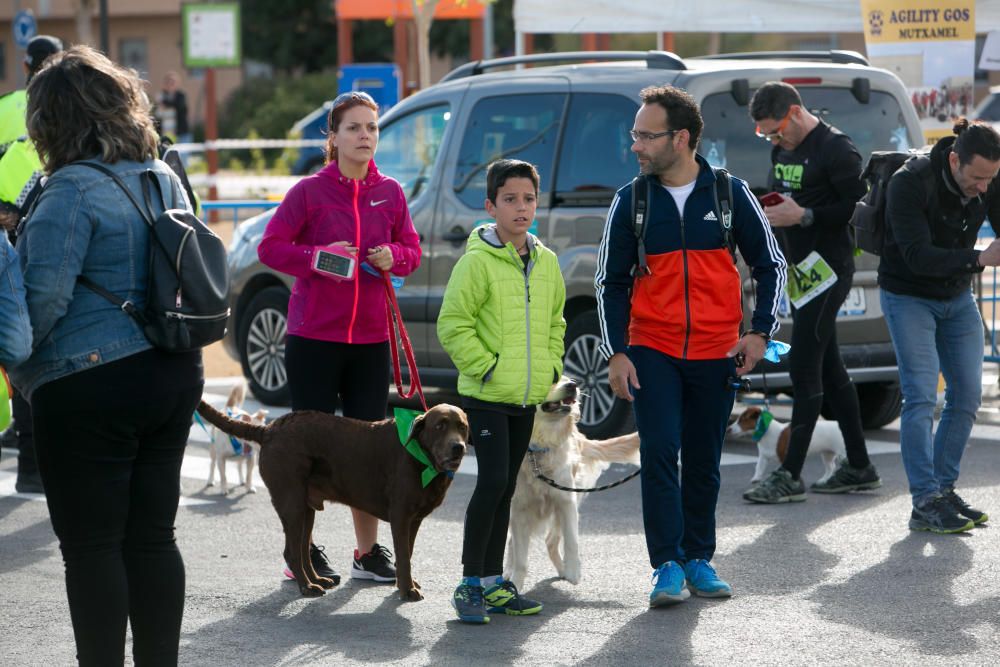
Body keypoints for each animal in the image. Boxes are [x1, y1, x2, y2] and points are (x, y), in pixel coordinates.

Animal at [199, 400, 472, 604]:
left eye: (462, 426)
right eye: (440, 426)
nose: (458, 447)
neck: (419, 456)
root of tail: (269, 429)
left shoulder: (413, 520)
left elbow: (408, 553)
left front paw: (406, 584)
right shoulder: (401, 516)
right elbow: (404, 555)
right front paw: (407, 591)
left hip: (306, 508)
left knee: (302, 550)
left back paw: (317, 580)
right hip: (291, 503)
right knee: (291, 552)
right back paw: (307, 588)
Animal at [508, 378, 640, 592]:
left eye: (566, 378)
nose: (572, 385)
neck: (538, 448)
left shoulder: (566, 500)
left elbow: (572, 540)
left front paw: (573, 571)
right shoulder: (519, 508)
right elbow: (521, 557)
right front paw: (514, 584)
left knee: (551, 541)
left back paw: (563, 570)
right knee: (515, 542)